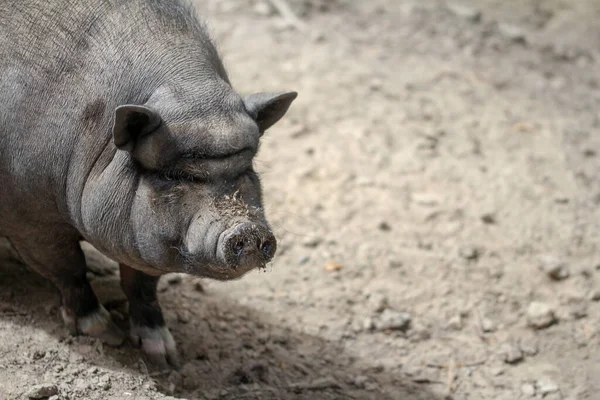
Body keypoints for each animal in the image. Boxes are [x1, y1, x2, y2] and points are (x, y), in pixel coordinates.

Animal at [0, 0, 296, 368]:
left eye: (248, 165)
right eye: (174, 175)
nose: (248, 229)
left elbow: (142, 283)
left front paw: (166, 357)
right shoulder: (29, 217)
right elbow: (69, 268)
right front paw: (107, 335)